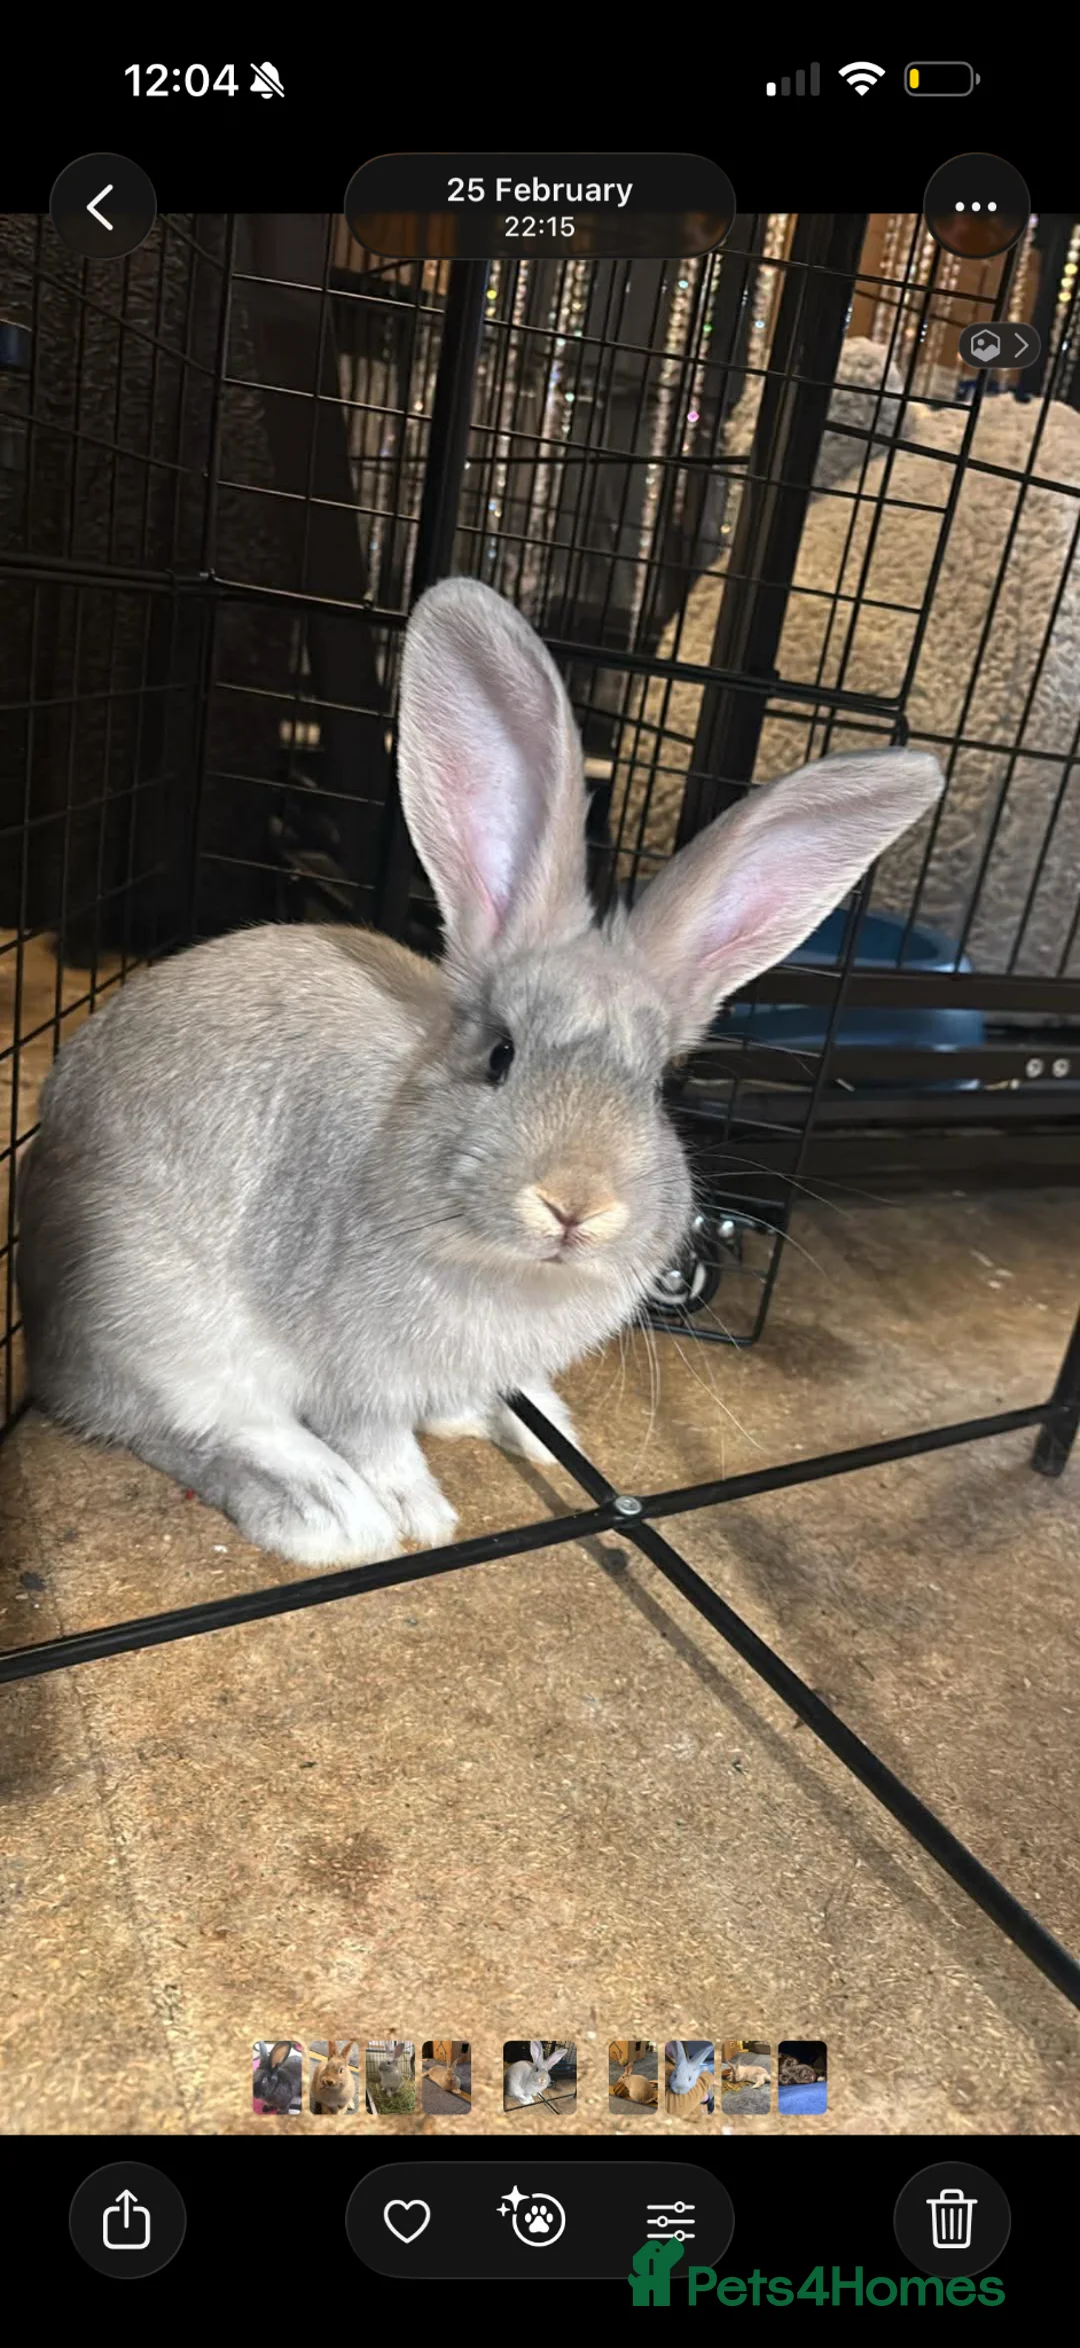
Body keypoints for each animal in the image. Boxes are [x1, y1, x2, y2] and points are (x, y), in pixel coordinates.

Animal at [16, 577, 943, 1570]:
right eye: (500, 1054)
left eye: (660, 1087)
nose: (576, 1206)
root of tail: (42, 1336)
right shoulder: (355, 1374)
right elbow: (378, 1438)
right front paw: (420, 1512)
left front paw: (536, 1427)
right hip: (161, 1325)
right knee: (182, 1425)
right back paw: (326, 1512)